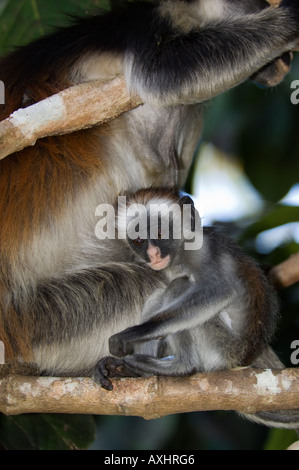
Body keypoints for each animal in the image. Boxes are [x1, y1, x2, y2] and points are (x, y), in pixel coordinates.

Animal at [0, 0, 298, 424]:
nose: (286, 61)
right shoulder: (137, 27)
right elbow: (162, 74)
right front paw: (290, 19)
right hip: (39, 321)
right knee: (157, 285)